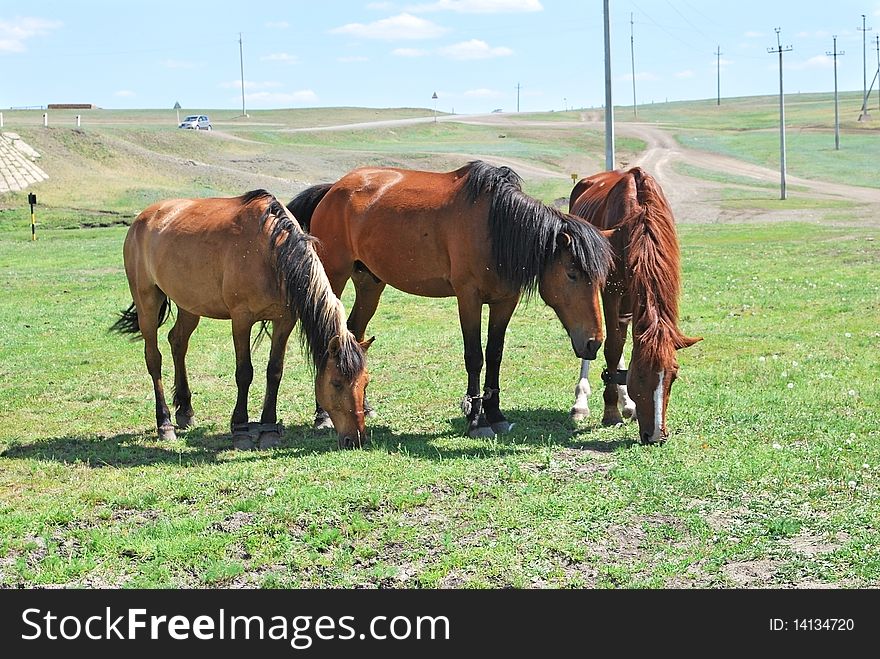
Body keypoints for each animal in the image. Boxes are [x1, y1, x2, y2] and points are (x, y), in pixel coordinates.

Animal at [110, 188, 372, 452]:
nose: (355, 439)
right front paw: (241, 430)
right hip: (147, 302)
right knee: (154, 358)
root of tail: (142, 218)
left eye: (365, 382)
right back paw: (164, 424)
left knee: (178, 342)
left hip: (190, 304)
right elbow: (244, 373)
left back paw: (185, 411)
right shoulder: (241, 319)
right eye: (337, 383)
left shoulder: (284, 320)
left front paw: (269, 429)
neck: (271, 252)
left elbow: (274, 371)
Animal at [288, 160, 612, 438]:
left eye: (601, 279)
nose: (594, 342)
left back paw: (364, 406)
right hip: (333, 275)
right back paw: (323, 416)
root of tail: (333, 189)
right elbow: (475, 356)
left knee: (353, 332)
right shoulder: (468, 297)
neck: (495, 227)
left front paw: (496, 416)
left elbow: (495, 354)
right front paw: (476, 420)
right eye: (572, 273)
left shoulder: (505, 301)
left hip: (370, 283)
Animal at [572, 168, 700, 446]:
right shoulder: (611, 291)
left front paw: (625, 403)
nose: (656, 436)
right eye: (640, 375)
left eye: (673, 376)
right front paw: (611, 412)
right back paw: (581, 402)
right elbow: (611, 347)